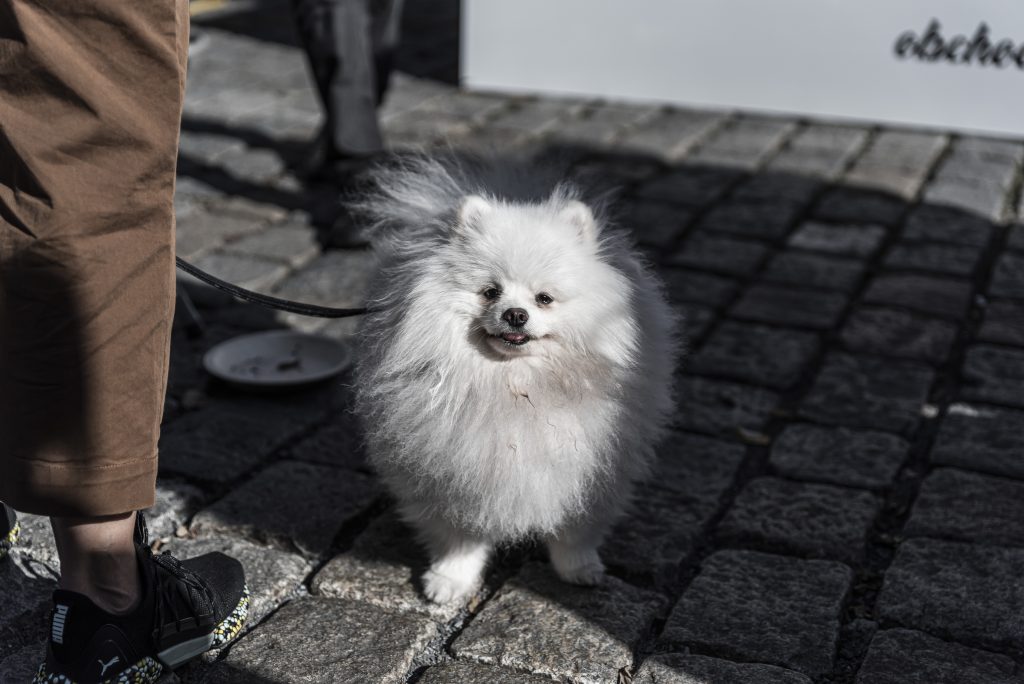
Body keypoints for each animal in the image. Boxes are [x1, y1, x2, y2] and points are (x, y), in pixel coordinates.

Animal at [353, 156, 677, 603]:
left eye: (544, 298)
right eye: (491, 292)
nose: (515, 314)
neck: (517, 384)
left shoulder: (593, 471)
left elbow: (577, 530)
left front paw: (578, 568)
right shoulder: (450, 473)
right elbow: (460, 538)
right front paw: (450, 579)